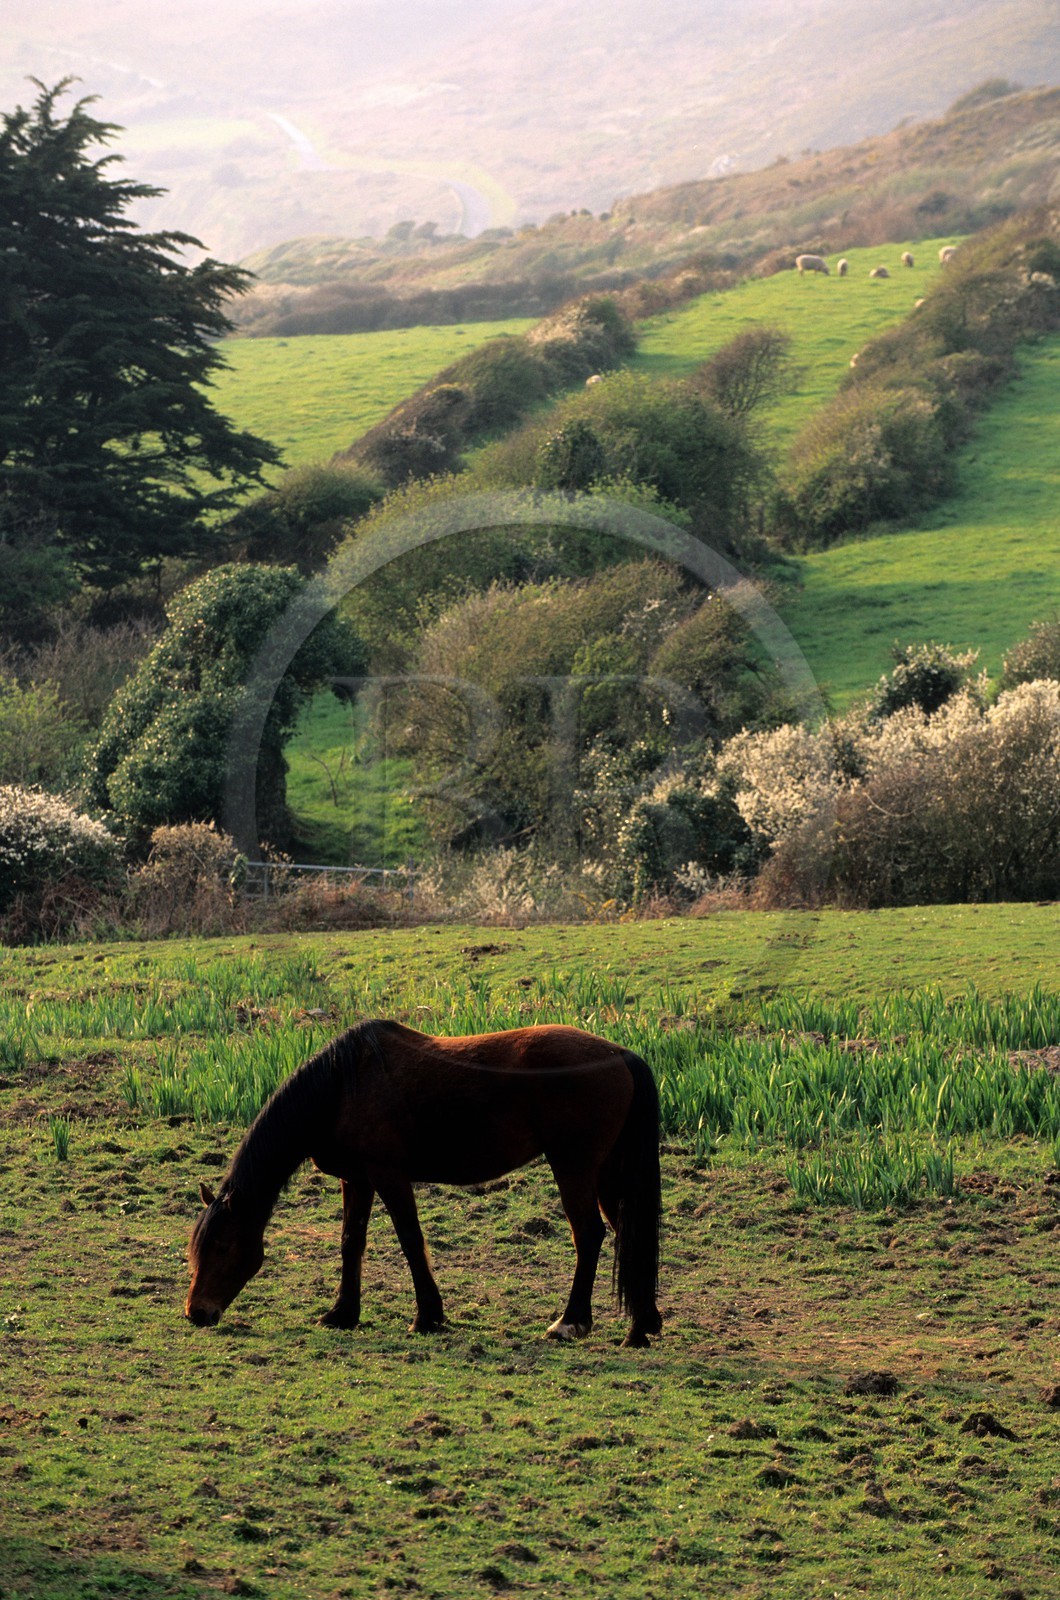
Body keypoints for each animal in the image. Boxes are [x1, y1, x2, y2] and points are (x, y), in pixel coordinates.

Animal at [185, 1019, 663, 1347]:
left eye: (223, 1246)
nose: (196, 1313)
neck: (343, 1086)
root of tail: (620, 1054)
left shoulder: (389, 1176)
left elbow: (411, 1241)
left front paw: (428, 1316)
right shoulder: (357, 1179)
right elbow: (351, 1242)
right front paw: (342, 1313)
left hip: (574, 1168)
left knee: (589, 1235)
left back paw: (571, 1321)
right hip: (607, 1173)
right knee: (627, 1235)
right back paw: (641, 1327)